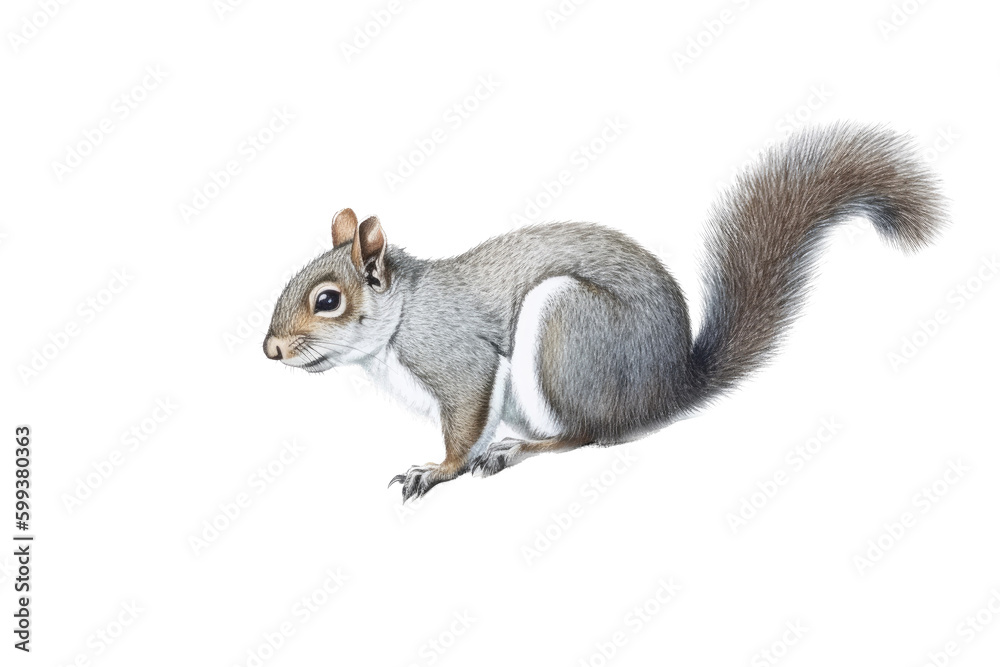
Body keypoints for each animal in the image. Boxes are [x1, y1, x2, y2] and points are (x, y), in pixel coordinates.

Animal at [264, 123, 944, 502]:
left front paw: (436, 470)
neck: (398, 321)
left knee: (586, 435)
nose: (270, 350)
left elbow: (464, 421)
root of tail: (666, 390)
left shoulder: (456, 357)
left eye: (327, 300)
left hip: (566, 331)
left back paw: (516, 450)